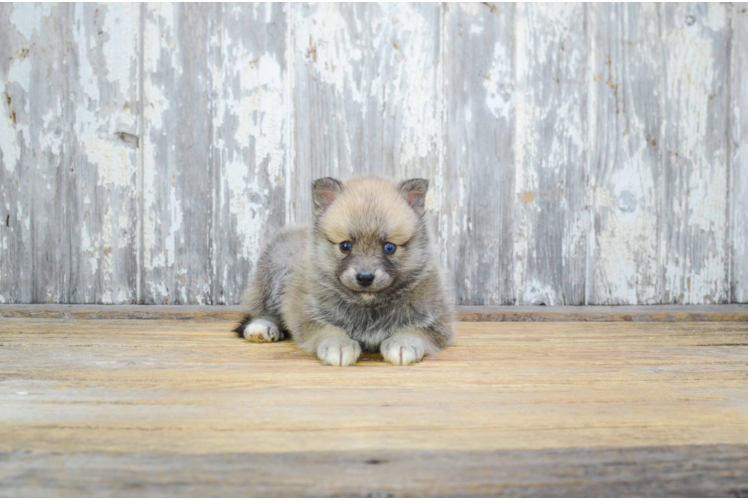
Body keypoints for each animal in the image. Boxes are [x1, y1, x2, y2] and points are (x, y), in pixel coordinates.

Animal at [237, 178, 452, 366]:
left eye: (389, 247)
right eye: (345, 246)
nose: (365, 278)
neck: (368, 306)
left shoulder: (437, 321)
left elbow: (415, 330)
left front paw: (402, 344)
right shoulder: (307, 315)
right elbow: (328, 329)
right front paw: (339, 346)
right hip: (275, 268)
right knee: (264, 310)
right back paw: (262, 327)